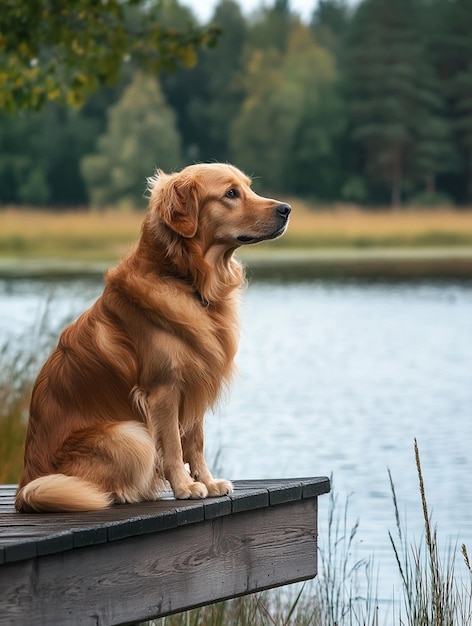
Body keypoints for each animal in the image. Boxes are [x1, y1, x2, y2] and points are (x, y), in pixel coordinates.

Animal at [15, 162, 292, 512]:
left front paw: (208, 482)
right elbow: (173, 445)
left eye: (248, 187)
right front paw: (185, 487)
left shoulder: (196, 378)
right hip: (130, 434)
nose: (286, 209)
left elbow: (196, 442)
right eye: (231, 193)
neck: (188, 281)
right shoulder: (163, 389)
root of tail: (24, 488)